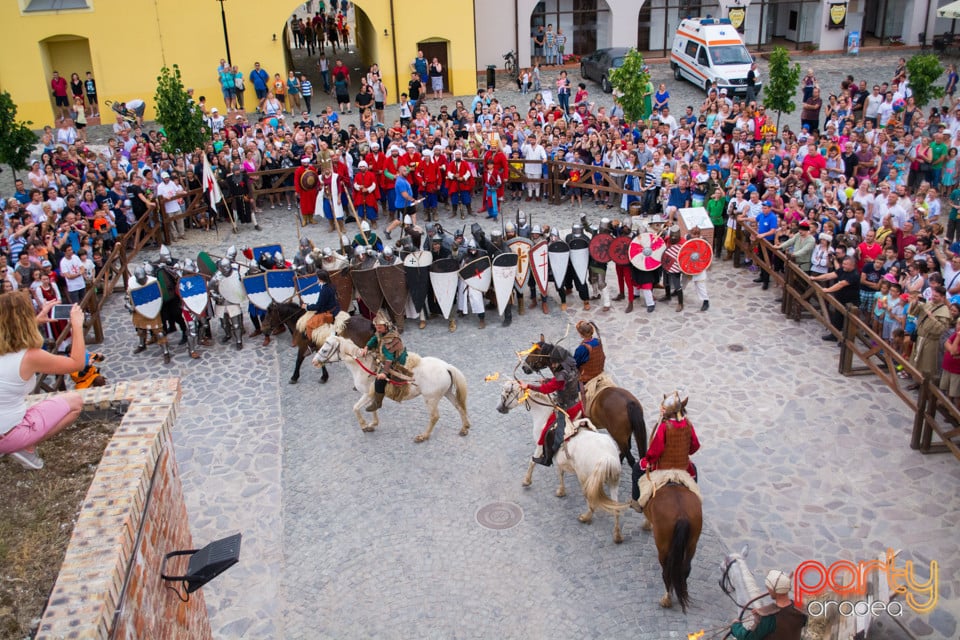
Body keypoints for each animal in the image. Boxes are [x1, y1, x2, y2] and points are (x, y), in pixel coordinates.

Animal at [314, 332, 470, 442]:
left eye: (324, 350)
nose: (314, 362)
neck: (363, 366)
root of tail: (446, 367)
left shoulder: (367, 393)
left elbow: (356, 408)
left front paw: (364, 426)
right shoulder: (372, 395)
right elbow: (372, 408)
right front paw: (373, 424)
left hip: (430, 399)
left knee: (434, 416)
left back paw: (423, 436)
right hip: (447, 393)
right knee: (459, 407)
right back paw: (464, 428)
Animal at [496, 380, 632, 544]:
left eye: (506, 392)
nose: (499, 408)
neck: (545, 413)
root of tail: (607, 458)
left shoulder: (540, 445)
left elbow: (533, 462)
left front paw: (527, 481)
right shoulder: (559, 457)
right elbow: (560, 471)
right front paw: (561, 490)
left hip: (586, 479)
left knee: (592, 502)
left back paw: (585, 517)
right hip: (613, 482)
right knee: (616, 507)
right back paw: (617, 535)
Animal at [520, 340, 648, 464]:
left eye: (535, 352)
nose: (524, 367)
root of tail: (630, 402)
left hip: (619, 436)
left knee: (630, 458)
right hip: (625, 435)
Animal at [644, 482, 696, 612]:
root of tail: (681, 514)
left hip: (663, 548)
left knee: (666, 572)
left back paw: (666, 599)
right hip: (692, 544)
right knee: (685, 569)